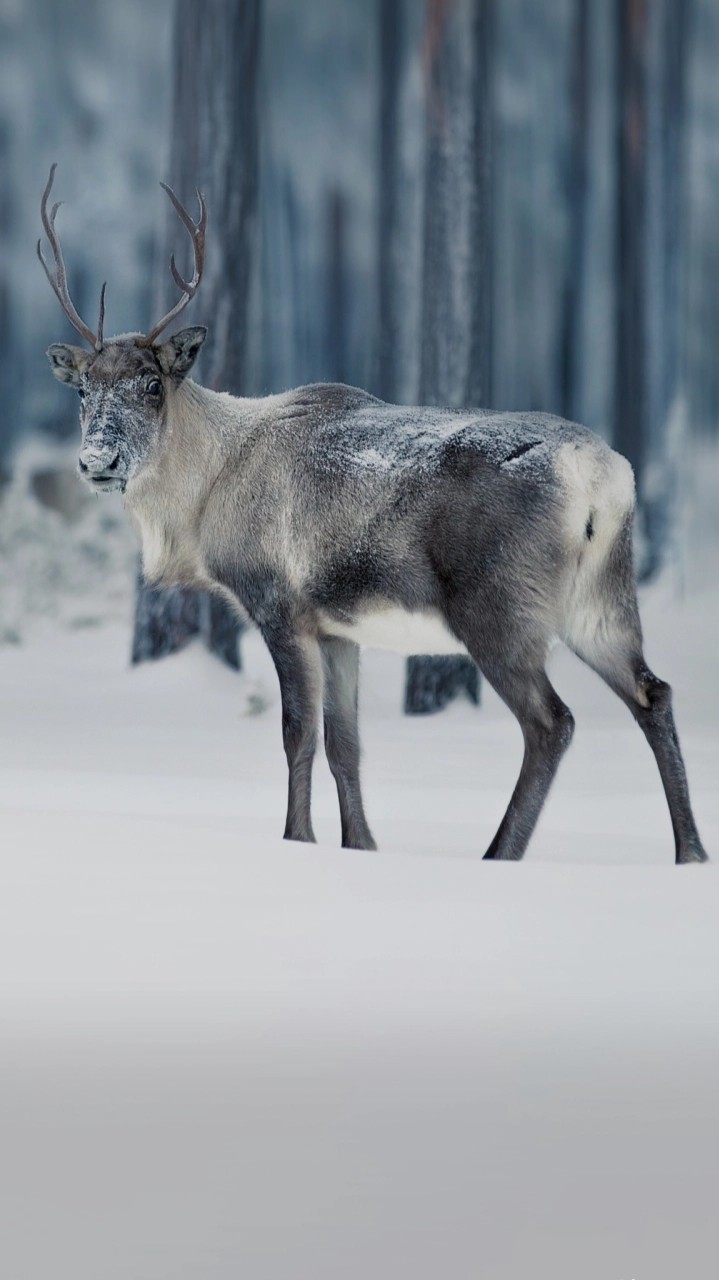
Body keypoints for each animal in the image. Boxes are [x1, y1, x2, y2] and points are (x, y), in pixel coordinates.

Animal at [40, 166, 708, 863]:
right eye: (83, 390)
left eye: (151, 384)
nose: (97, 460)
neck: (205, 500)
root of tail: (602, 477)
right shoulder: (340, 628)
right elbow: (346, 744)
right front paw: (361, 846)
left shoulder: (279, 604)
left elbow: (298, 735)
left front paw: (298, 838)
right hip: (601, 598)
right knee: (653, 692)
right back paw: (689, 851)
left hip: (500, 606)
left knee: (553, 722)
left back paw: (499, 853)